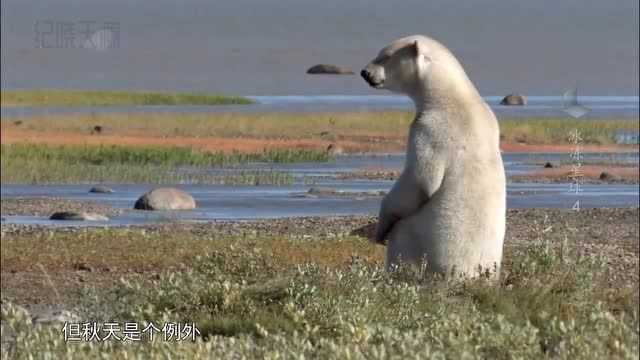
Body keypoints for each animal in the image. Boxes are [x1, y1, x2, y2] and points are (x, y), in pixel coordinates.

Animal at [360, 35, 504, 278]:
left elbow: (420, 181)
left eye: (384, 56)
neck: (452, 96)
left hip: (421, 238)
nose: (364, 72)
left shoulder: (431, 129)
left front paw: (380, 230)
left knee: (401, 241)